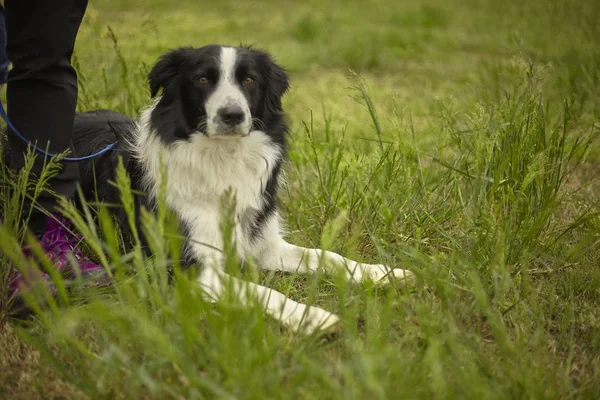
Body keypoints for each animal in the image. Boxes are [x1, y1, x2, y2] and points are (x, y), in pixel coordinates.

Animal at [72, 45, 414, 334]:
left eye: (249, 80)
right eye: (202, 79)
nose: (232, 115)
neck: (224, 158)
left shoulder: (264, 243)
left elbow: (327, 256)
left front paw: (383, 273)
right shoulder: (188, 268)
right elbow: (259, 289)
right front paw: (310, 317)